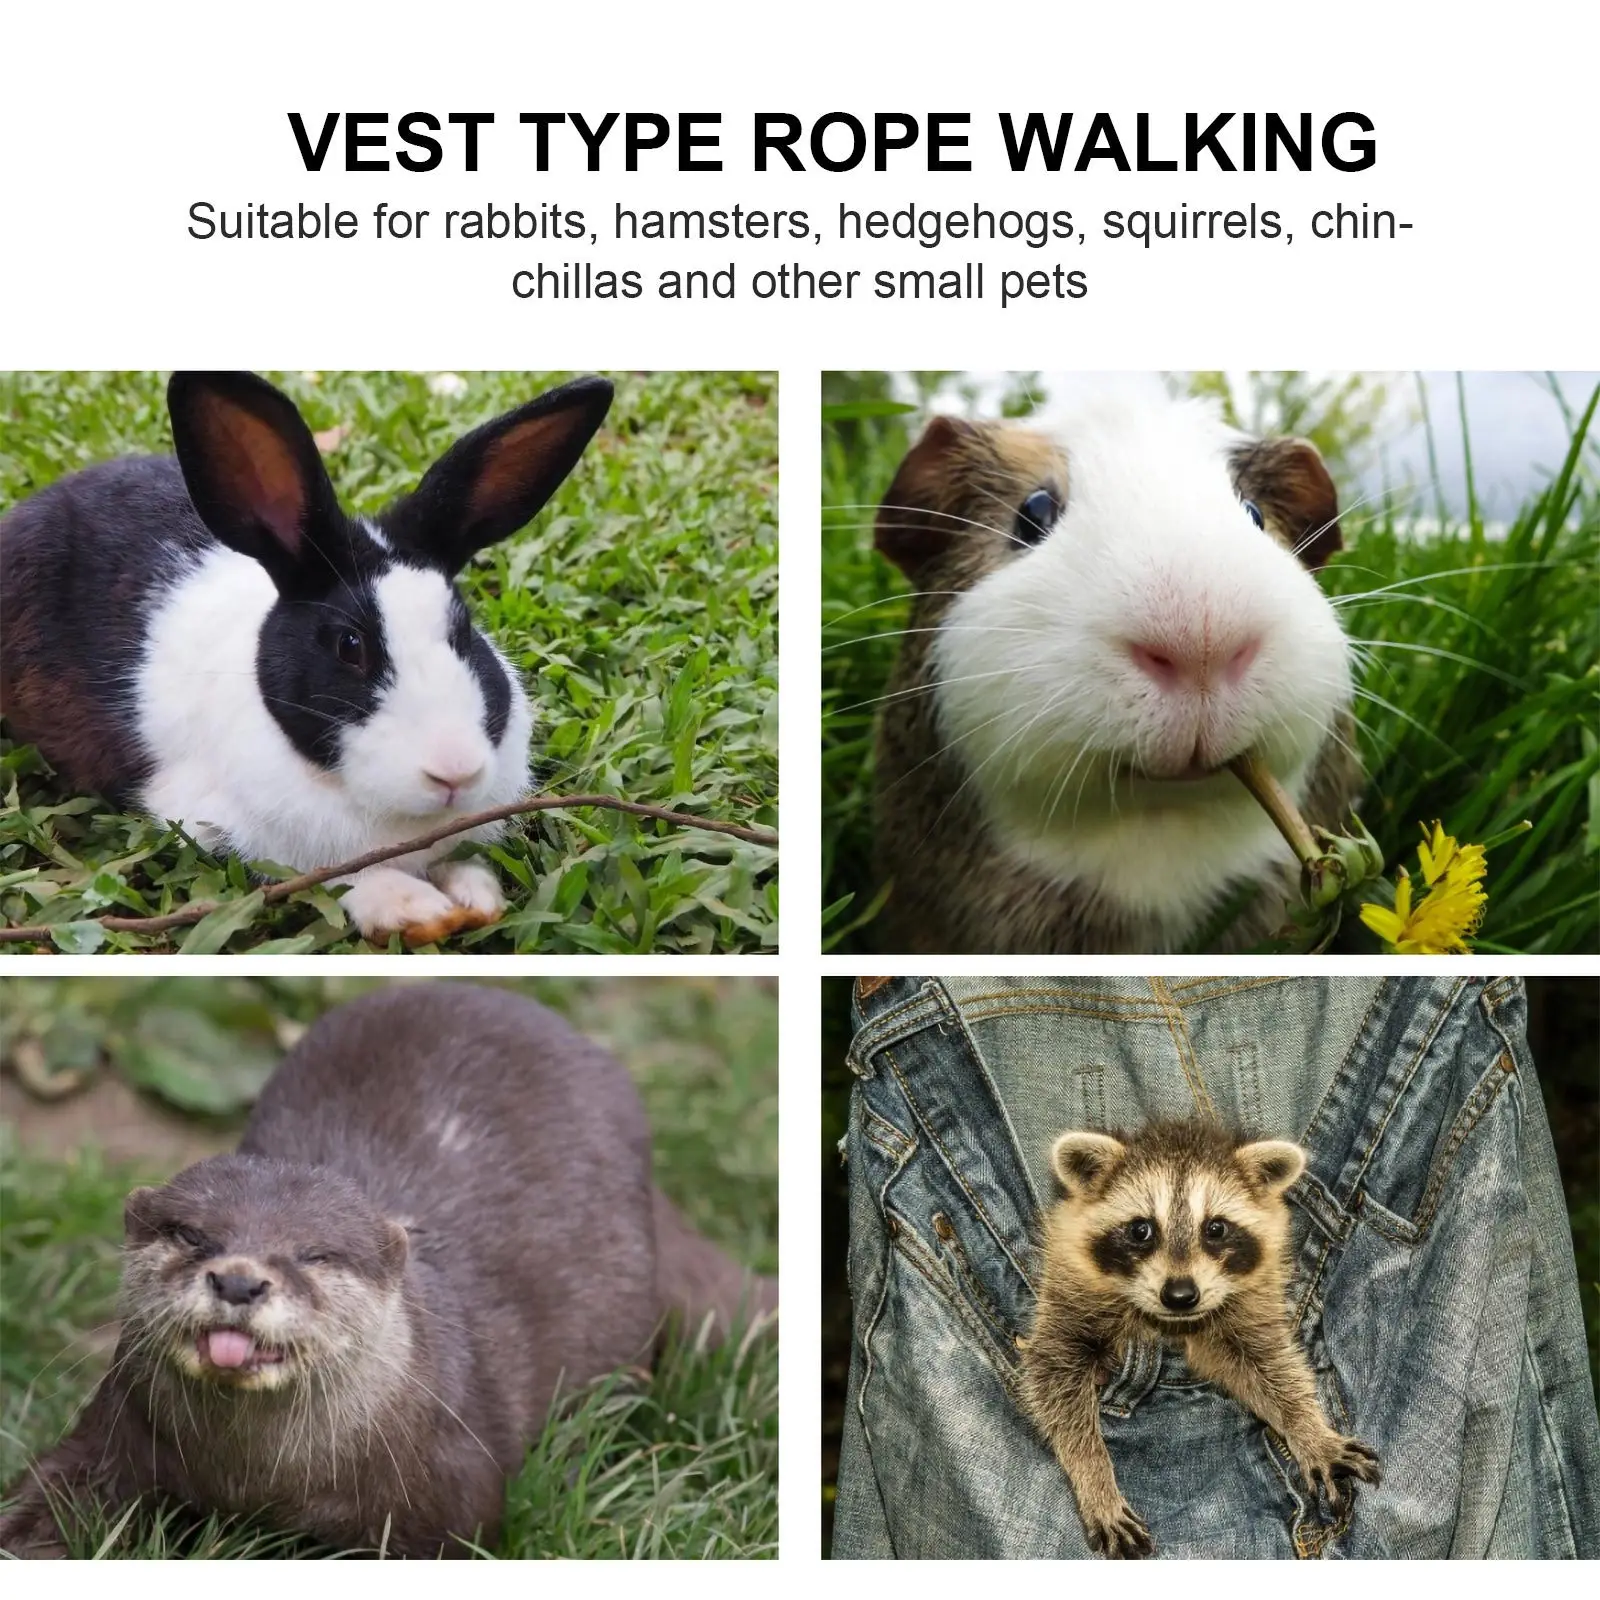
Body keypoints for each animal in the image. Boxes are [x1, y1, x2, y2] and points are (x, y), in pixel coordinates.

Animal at [0, 370, 613, 943]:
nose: (455, 773)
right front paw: (412, 909)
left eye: (462, 630)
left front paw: (475, 895)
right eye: (349, 645)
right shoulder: (213, 821)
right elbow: (333, 875)